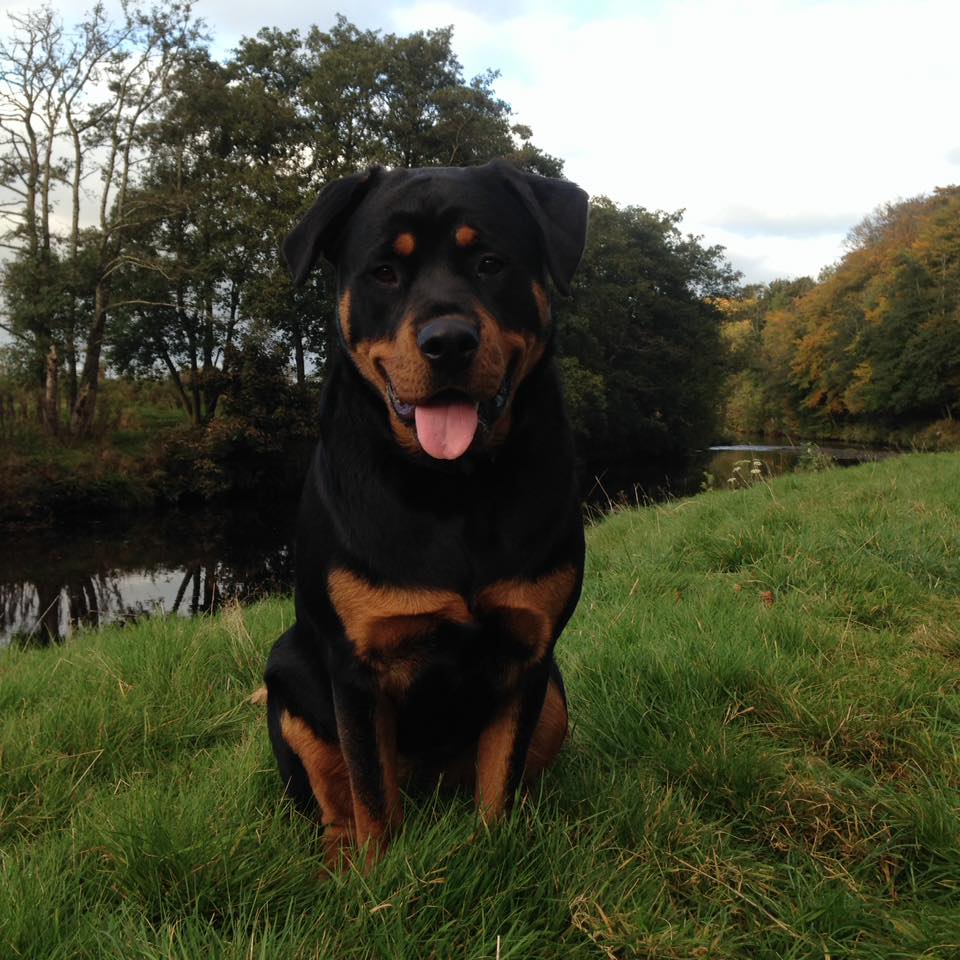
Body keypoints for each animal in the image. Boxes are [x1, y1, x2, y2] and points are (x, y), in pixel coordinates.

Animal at [266, 161, 588, 868]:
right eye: (385, 272)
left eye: (490, 262)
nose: (448, 342)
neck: (452, 489)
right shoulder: (355, 670)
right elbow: (371, 795)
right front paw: (377, 879)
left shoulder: (529, 654)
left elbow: (500, 780)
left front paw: (498, 852)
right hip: (288, 676)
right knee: (336, 798)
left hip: (556, 694)